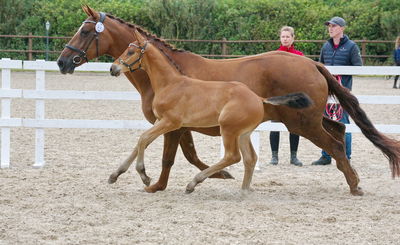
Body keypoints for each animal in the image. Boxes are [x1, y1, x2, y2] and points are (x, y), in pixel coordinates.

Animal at [110, 30, 312, 192]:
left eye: (130, 51)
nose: (113, 68)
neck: (170, 84)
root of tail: (259, 98)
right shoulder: (161, 121)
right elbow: (141, 141)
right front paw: (116, 175)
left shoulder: (171, 122)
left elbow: (144, 139)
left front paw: (144, 175)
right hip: (243, 133)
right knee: (250, 158)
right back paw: (244, 190)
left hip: (228, 128)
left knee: (233, 156)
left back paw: (194, 183)